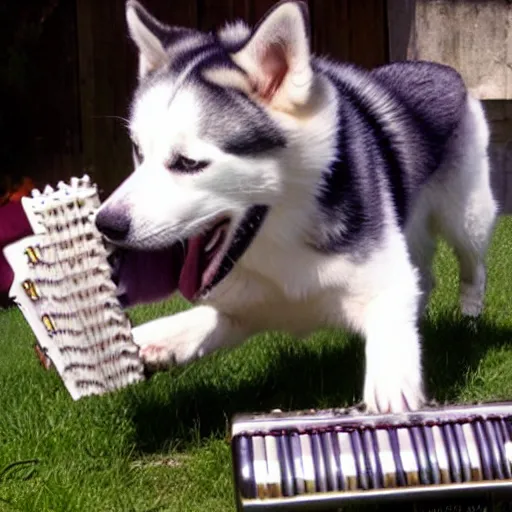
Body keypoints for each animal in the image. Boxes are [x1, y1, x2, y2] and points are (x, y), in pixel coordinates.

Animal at [95, 0, 496, 412]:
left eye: (188, 163)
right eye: (138, 152)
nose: (105, 224)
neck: (280, 234)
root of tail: (439, 67)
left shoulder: (385, 277)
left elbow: (391, 323)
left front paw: (391, 393)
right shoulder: (248, 307)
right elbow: (198, 321)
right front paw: (146, 342)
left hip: (468, 218)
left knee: (472, 267)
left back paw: (469, 317)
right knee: (426, 277)